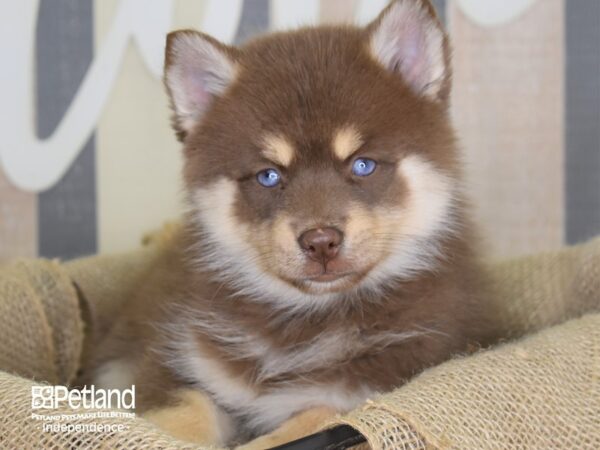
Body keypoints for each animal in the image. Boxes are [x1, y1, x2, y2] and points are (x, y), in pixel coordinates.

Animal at [91, 0, 496, 446]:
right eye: (269, 175)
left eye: (363, 164)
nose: (321, 241)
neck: (305, 322)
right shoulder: (180, 360)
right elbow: (178, 415)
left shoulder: (366, 391)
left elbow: (302, 422)